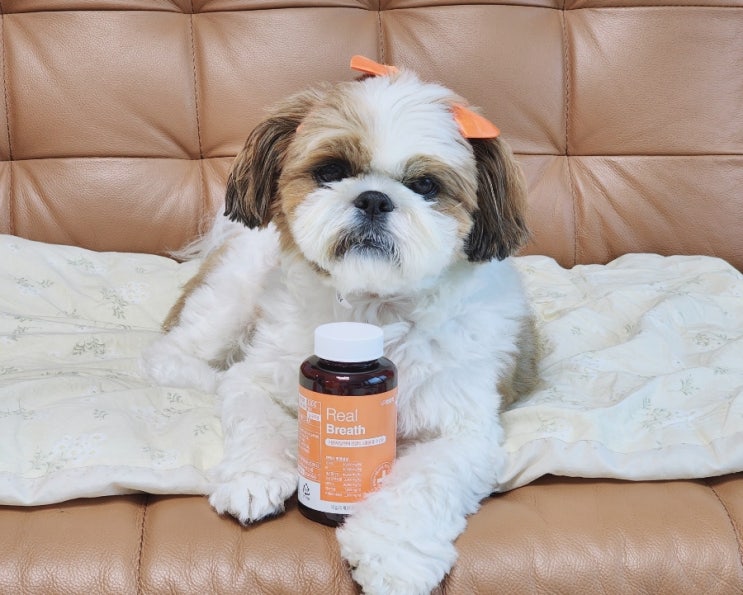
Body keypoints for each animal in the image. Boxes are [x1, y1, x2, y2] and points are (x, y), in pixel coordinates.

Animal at [143, 56, 536, 595]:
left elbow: (423, 484)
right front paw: (253, 476)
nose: (373, 198)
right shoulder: (261, 378)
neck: (371, 313)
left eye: (426, 186)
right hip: (230, 295)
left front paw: (393, 557)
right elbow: (252, 414)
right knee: (171, 356)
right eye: (331, 171)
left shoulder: (463, 429)